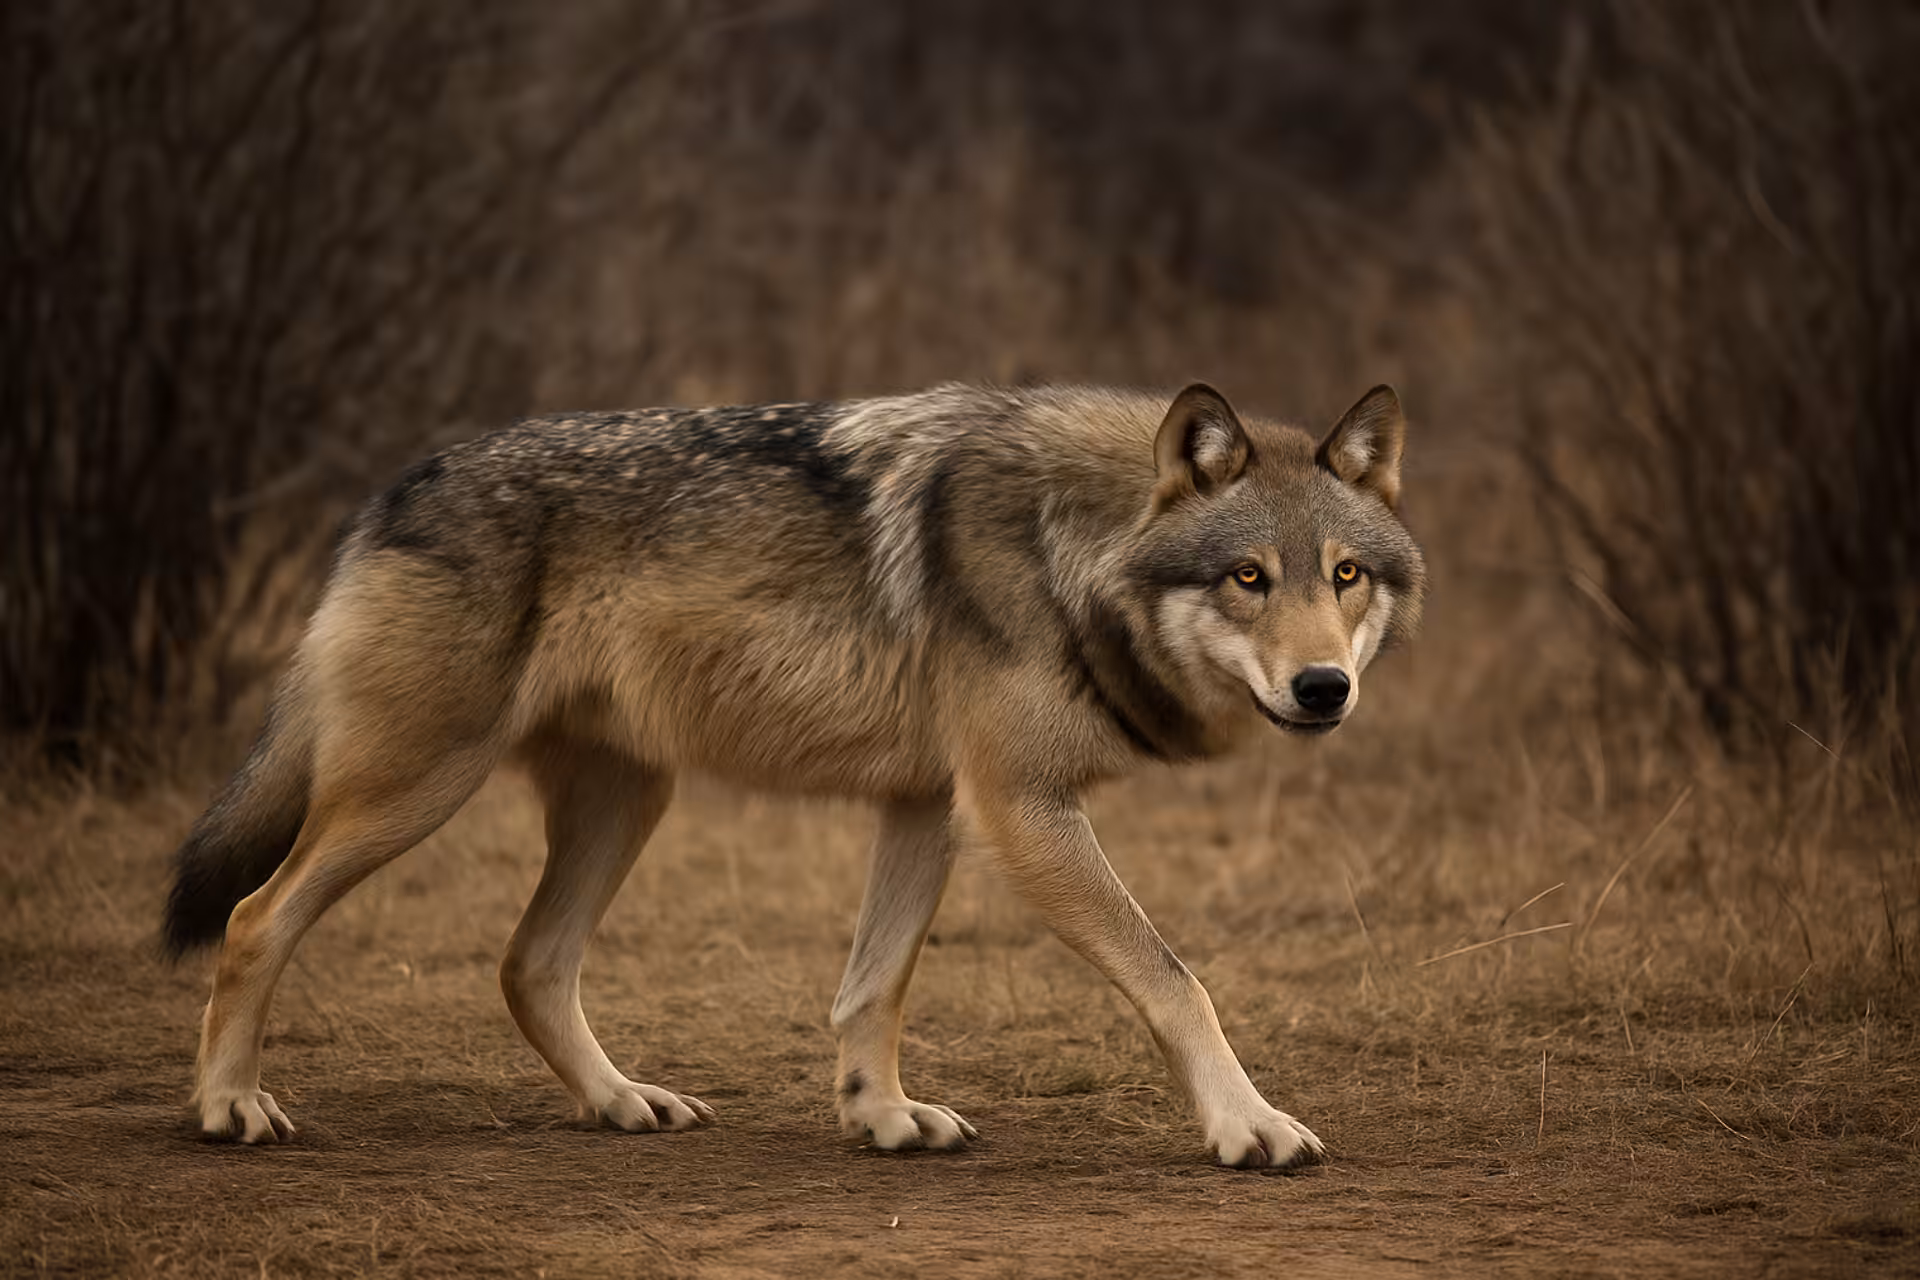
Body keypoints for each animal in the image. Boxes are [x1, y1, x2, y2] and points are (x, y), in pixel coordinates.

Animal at [163, 380, 1425, 1168]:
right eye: (1248, 576)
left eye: (1345, 574)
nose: (1323, 687)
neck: (1073, 549)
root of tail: (392, 489)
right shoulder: (1020, 809)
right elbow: (1177, 978)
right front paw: (1249, 1125)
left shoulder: (928, 804)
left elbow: (872, 987)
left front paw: (883, 1116)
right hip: (418, 789)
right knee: (254, 914)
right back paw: (228, 1104)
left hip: (628, 799)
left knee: (529, 962)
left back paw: (621, 1102)